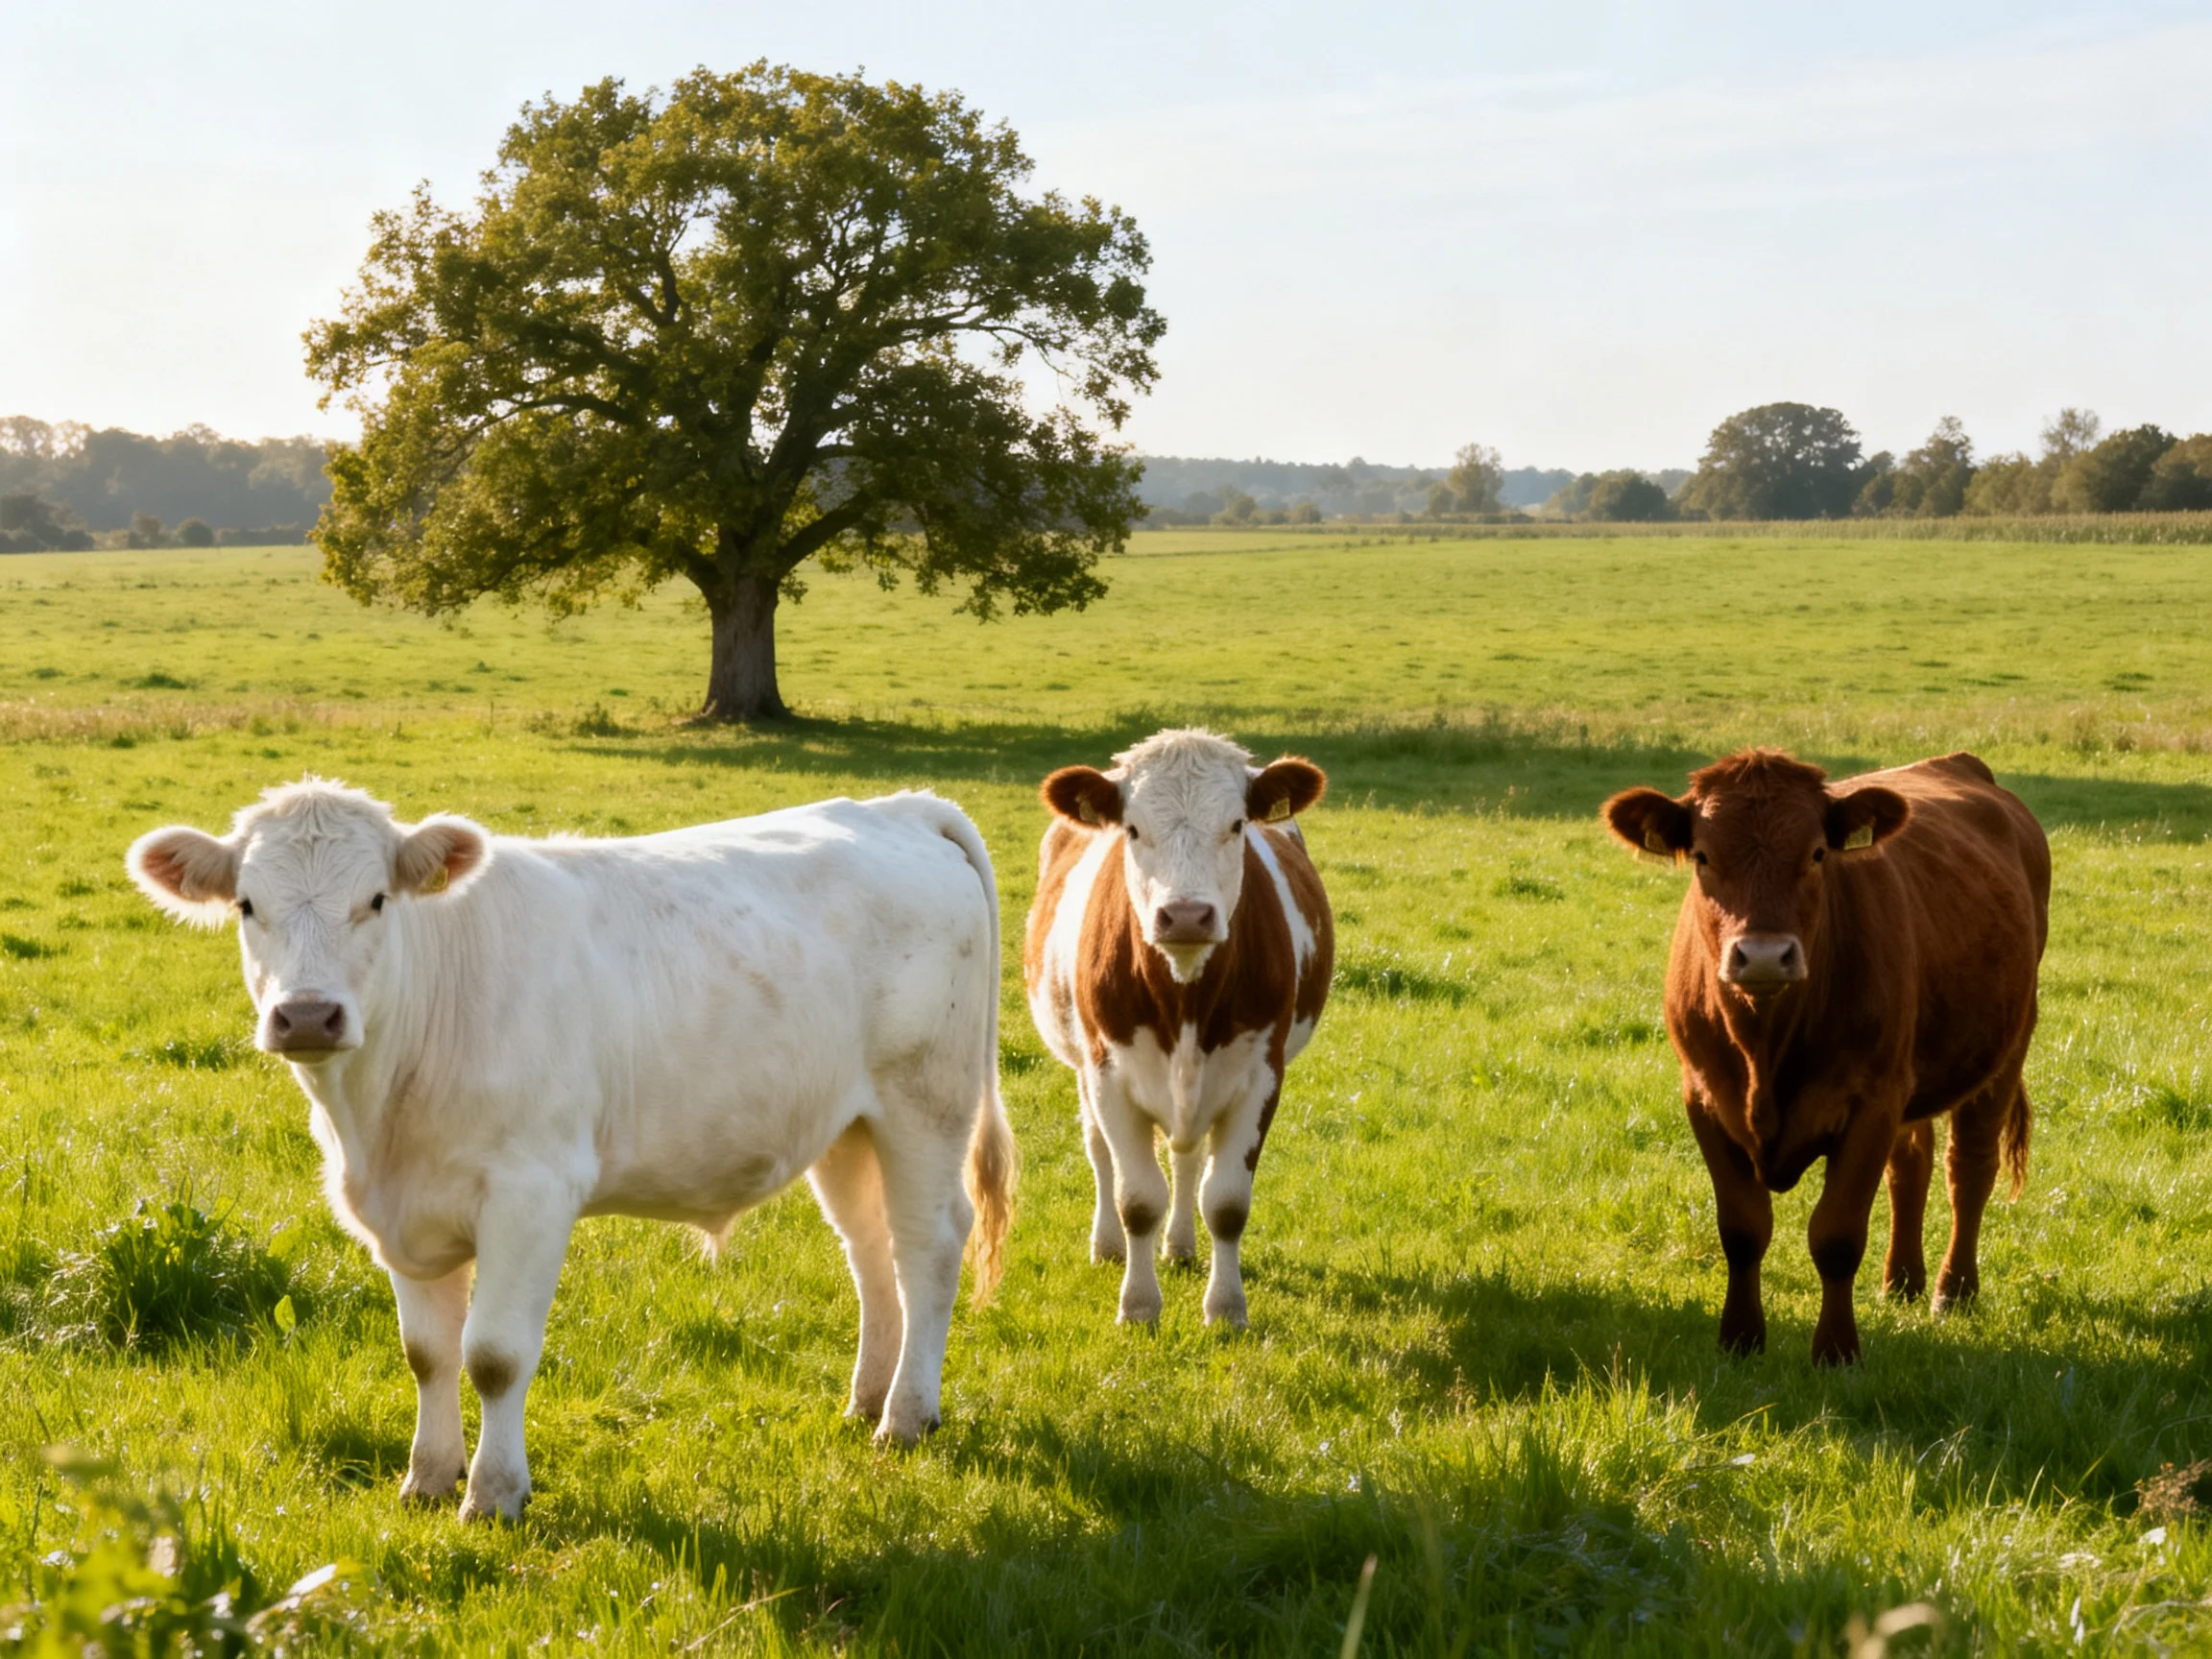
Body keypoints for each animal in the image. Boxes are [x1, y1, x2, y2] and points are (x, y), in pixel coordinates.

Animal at [127, 779, 1015, 1521]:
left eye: (375, 900)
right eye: (248, 905)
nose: (307, 1015)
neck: (380, 1118)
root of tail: (903, 807)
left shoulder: (531, 1192)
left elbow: (492, 1354)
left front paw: (493, 1494)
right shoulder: (401, 1212)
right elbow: (426, 1353)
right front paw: (426, 1478)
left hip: (925, 1101)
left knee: (929, 1245)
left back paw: (906, 1417)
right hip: (845, 1123)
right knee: (870, 1249)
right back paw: (867, 1399)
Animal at [1024, 729, 1332, 1329]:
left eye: (1236, 825)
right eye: (1133, 828)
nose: (1186, 915)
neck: (1185, 996)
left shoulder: (1262, 1075)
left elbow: (1227, 1202)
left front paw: (1227, 1309)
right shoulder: (1109, 1075)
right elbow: (1138, 1199)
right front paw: (1140, 1306)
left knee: (1187, 1158)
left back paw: (1182, 1246)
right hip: (1082, 1063)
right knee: (1099, 1150)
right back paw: (1108, 1245)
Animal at [1602, 748, 2049, 1365]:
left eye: (1817, 854)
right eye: (1702, 855)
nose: (1764, 956)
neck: (1764, 1046)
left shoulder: (1871, 1102)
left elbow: (1836, 1235)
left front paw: (1836, 1352)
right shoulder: (1704, 1096)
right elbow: (1741, 1229)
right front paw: (1740, 1340)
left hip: (2006, 1048)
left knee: (1969, 1169)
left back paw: (1952, 1291)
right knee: (1911, 1165)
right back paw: (1901, 1282)